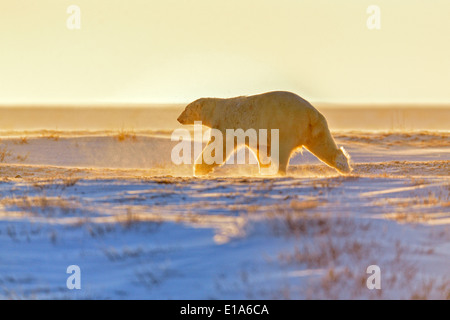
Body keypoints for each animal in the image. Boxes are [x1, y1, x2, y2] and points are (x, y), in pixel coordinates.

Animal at [177, 90, 352, 175]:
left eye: (186, 108)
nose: (178, 118)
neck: (216, 109)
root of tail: (311, 112)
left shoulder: (227, 124)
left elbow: (218, 146)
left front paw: (199, 169)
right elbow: (259, 150)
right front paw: (263, 168)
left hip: (287, 125)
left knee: (282, 150)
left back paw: (279, 172)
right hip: (315, 127)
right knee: (323, 145)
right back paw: (344, 166)